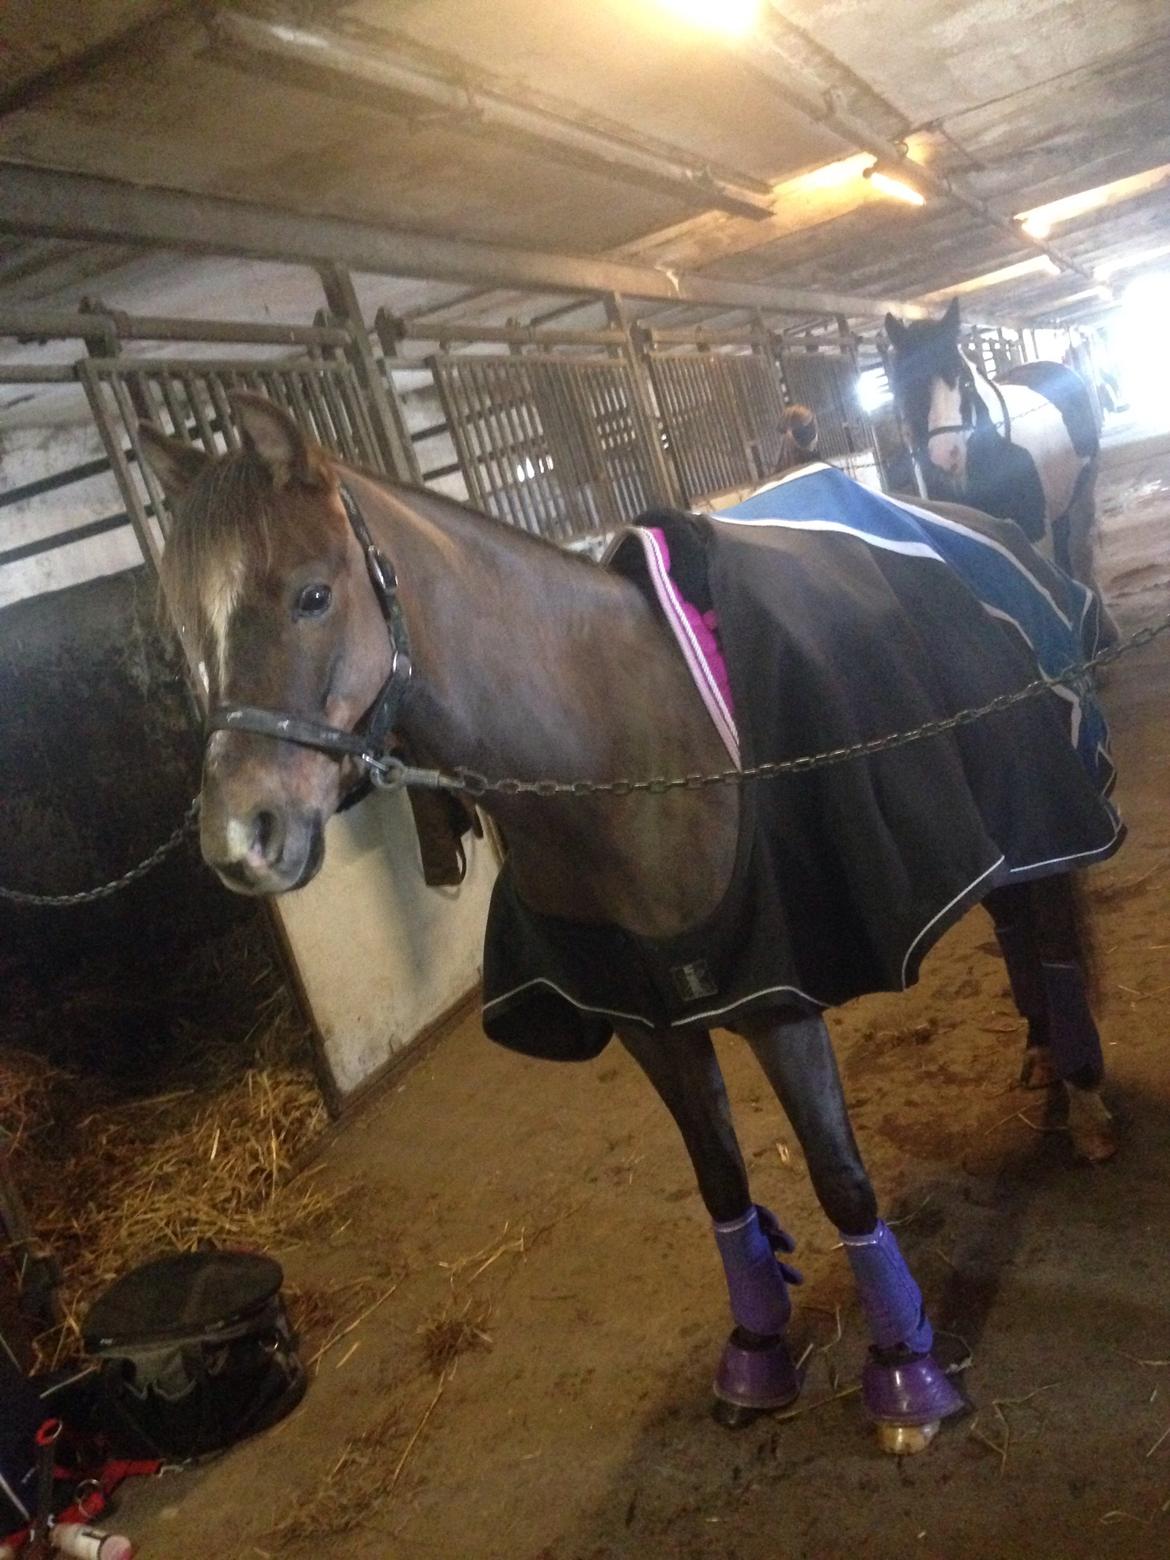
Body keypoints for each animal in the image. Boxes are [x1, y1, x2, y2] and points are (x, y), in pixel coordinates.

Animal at [138, 394, 1122, 1457]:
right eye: (181, 638)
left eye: (312, 596)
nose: (241, 838)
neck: (623, 752)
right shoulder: (648, 1019)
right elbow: (721, 1182)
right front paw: (756, 1354)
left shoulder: (776, 1005)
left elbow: (841, 1177)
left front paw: (908, 1378)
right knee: (1015, 924)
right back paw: (1044, 1069)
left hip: (1042, 812)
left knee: (1049, 935)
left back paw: (1086, 1105)